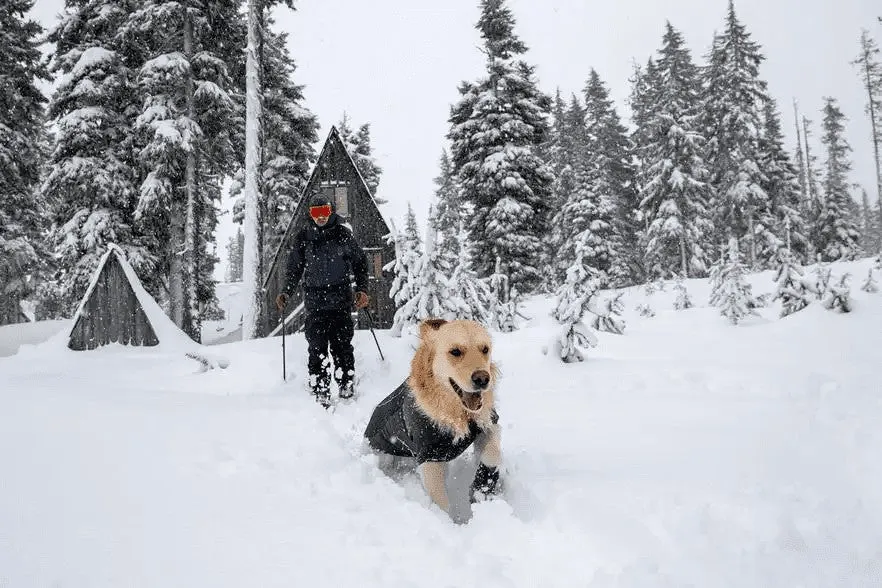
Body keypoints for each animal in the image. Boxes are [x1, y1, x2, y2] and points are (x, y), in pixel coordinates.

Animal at [364, 316, 502, 516]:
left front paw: (482, 488)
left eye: (485, 349)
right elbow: (441, 502)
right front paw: (448, 522)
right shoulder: (430, 457)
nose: (483, 379)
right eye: (455, 351)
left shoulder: (487, 425)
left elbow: (492, 455)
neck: (457, 414)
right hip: (385, 455)